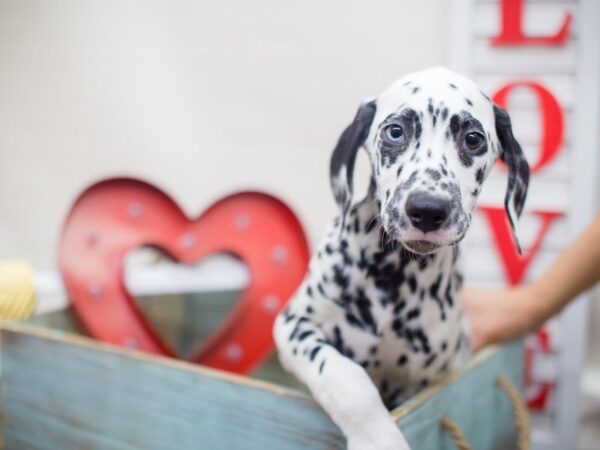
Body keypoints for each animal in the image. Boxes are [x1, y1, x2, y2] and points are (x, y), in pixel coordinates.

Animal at [274, 65, 528, 448]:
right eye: (396, 131)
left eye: (473, 139)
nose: (427, 210)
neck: (395, 277)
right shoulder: (294, 327)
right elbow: (347, 377)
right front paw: (379, 438)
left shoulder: (428, 379)